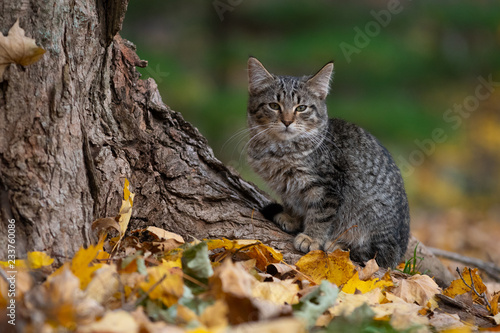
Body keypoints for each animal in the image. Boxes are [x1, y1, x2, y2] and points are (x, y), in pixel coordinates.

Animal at [246, 57, 410, 268]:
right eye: (274, 106)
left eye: (301, 108)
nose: (287, 121)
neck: (280, 150)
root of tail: (400, 251)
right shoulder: (287, 186)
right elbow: (293, 203)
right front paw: (291, 218)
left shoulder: (327, 186)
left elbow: (321, 214)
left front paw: (311, 238)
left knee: (372, 255)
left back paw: (338, 244)